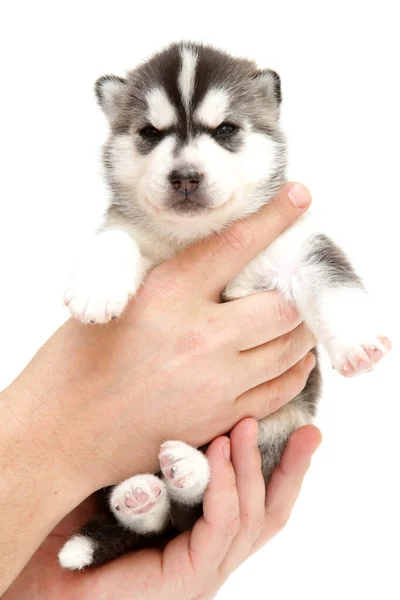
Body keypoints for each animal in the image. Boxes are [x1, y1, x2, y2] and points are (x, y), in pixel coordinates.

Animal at [59, 43, 390, 572]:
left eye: (226, 130)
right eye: (149, 134)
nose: (185, 177)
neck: (199, 237)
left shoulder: (298, 247)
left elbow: (333, 281)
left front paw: (358, 343)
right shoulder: (130, 232)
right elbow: (114, 239)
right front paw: (96, 288)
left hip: (278, 424)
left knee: (194, 501)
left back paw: (185, 472)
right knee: (163, 519)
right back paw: (140, 496)